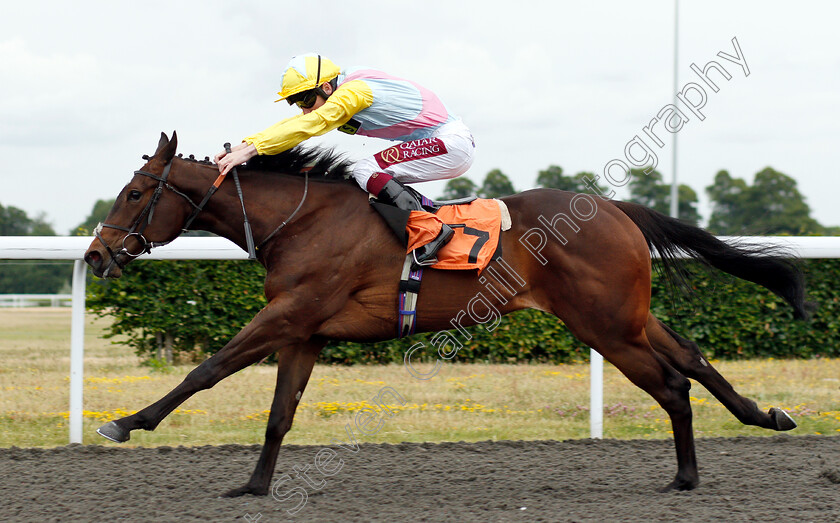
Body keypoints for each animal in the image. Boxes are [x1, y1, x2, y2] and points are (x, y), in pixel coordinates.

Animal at [83, 133, 808, 498]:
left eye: (136, 193)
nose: (95, 254)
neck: (302, 221)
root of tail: (616, 209)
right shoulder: (304, 331)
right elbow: (279, 413)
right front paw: (255, 486)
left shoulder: (288, 314)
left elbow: (206, 370)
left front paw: (126, 422)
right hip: (627, 315)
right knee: (692, 358)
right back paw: (765, 416)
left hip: (604, 324)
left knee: (673, 383)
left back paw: (685, 476)